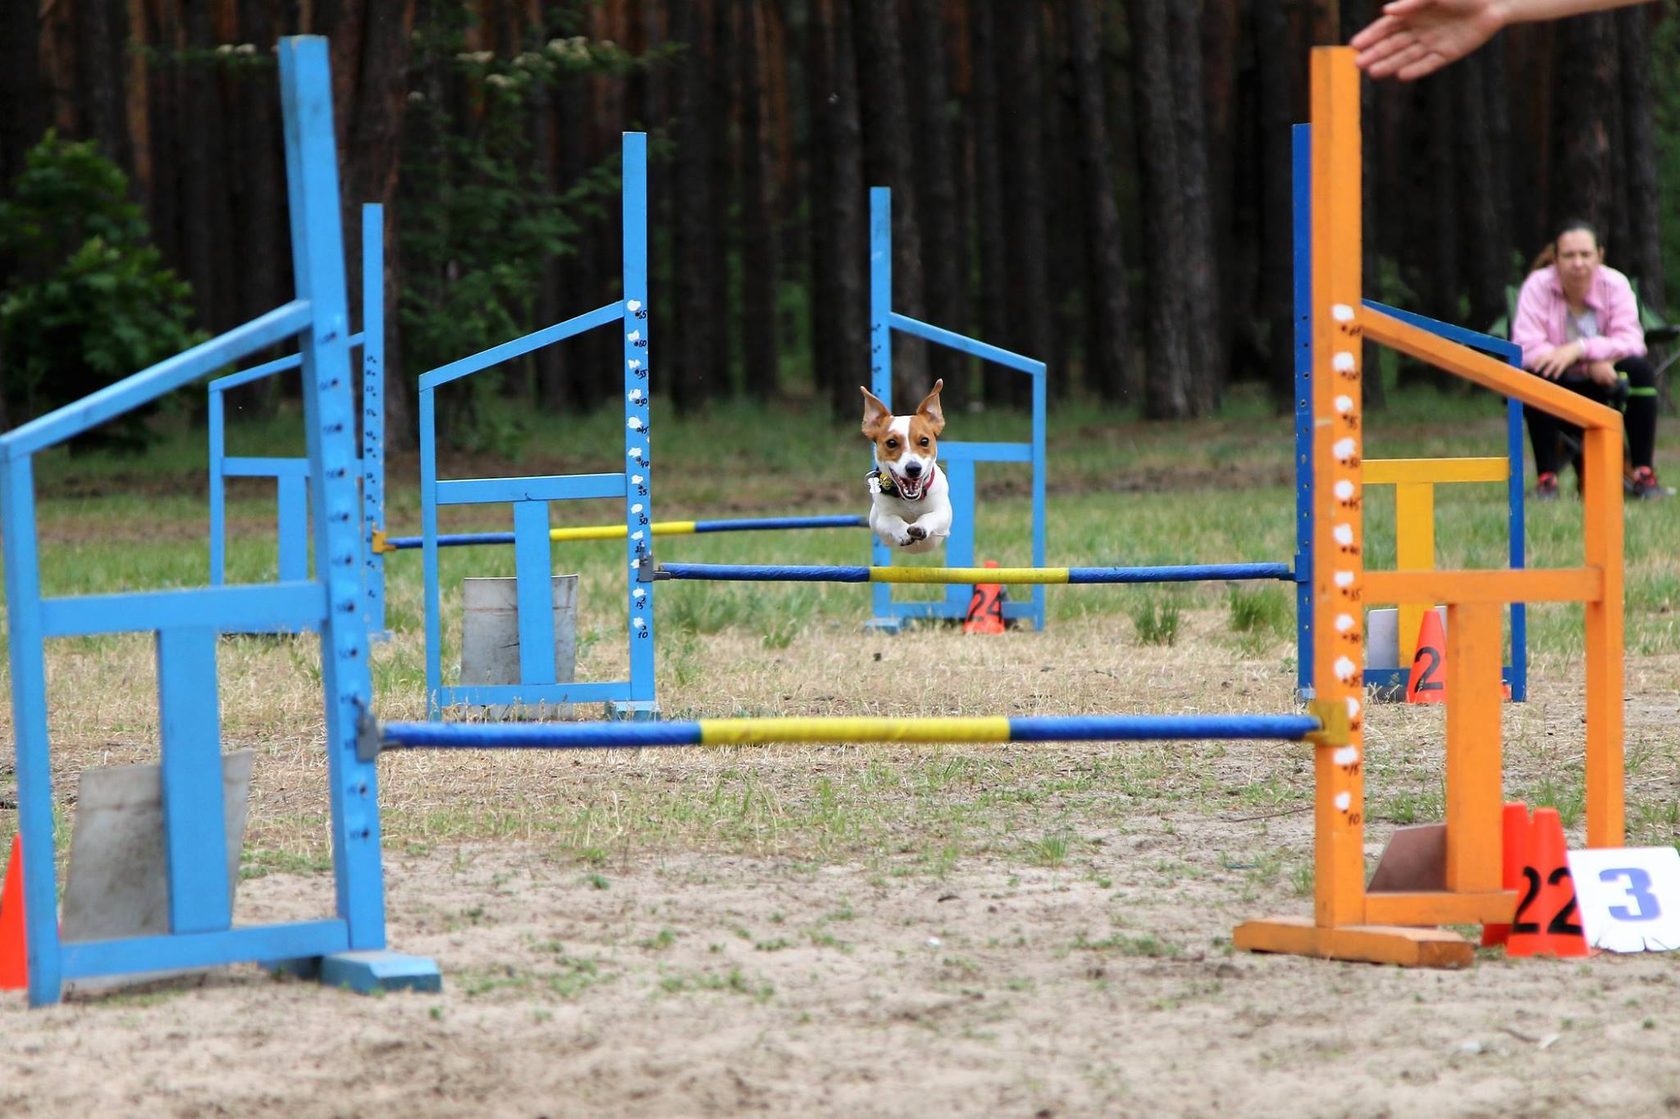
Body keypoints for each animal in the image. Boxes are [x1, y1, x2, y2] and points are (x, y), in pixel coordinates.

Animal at [860, 376, 954, 551]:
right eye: (891, 443)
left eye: (924, 441)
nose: (913, 468)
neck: (911, 502)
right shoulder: (880, 519)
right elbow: (891, 520)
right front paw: (902, 531)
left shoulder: (944, 515)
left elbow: (932, 515)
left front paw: (920, 527)